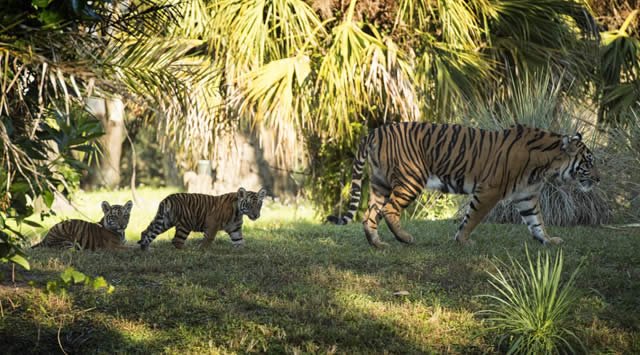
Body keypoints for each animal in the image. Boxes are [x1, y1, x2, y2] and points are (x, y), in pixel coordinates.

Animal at [138, 188, 268, 252]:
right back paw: (189, 251)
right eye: (250, 205)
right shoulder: (213, 224)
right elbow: (207, 240)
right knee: (177, 240)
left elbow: (239, 241)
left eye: (259, 205)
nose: (256, 216)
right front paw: (202, 251)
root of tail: (168, 198)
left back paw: (146, 249)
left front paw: (241, 252)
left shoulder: (235, 229)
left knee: (146, 232)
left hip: (164, 222)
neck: (238, 213)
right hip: (185, 224)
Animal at [330, 124, 600, 249]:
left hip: (380, 184)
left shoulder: (527, 196)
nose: (598, 179)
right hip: (411, 179)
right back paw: (404, 238)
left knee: (369, 215)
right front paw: (463, 240)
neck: (546, 165)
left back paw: (377, 243)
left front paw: (549, 240)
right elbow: (473, 217)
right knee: (388, 210)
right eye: (589, 162)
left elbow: (537, 222)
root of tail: (375, 131)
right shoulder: (490, 190)